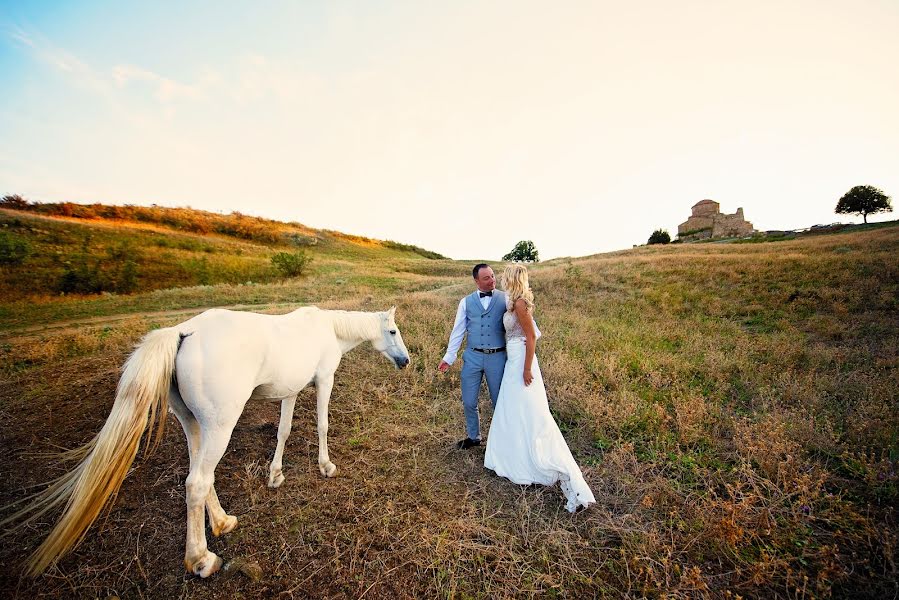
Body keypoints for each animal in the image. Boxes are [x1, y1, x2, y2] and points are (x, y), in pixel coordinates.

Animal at [3, 308, 410, 580]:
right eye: (392, 331)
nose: (405, 361)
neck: (327, 328)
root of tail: (182, 332)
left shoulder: (290, 392)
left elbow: (283, 431)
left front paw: (275, 474)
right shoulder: (323, 380)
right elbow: (322, 425)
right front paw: (326, 466)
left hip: (195, 425)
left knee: (200, 477)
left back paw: (222, 522)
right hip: (220, 427)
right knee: (197, 482)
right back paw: (201, 559)